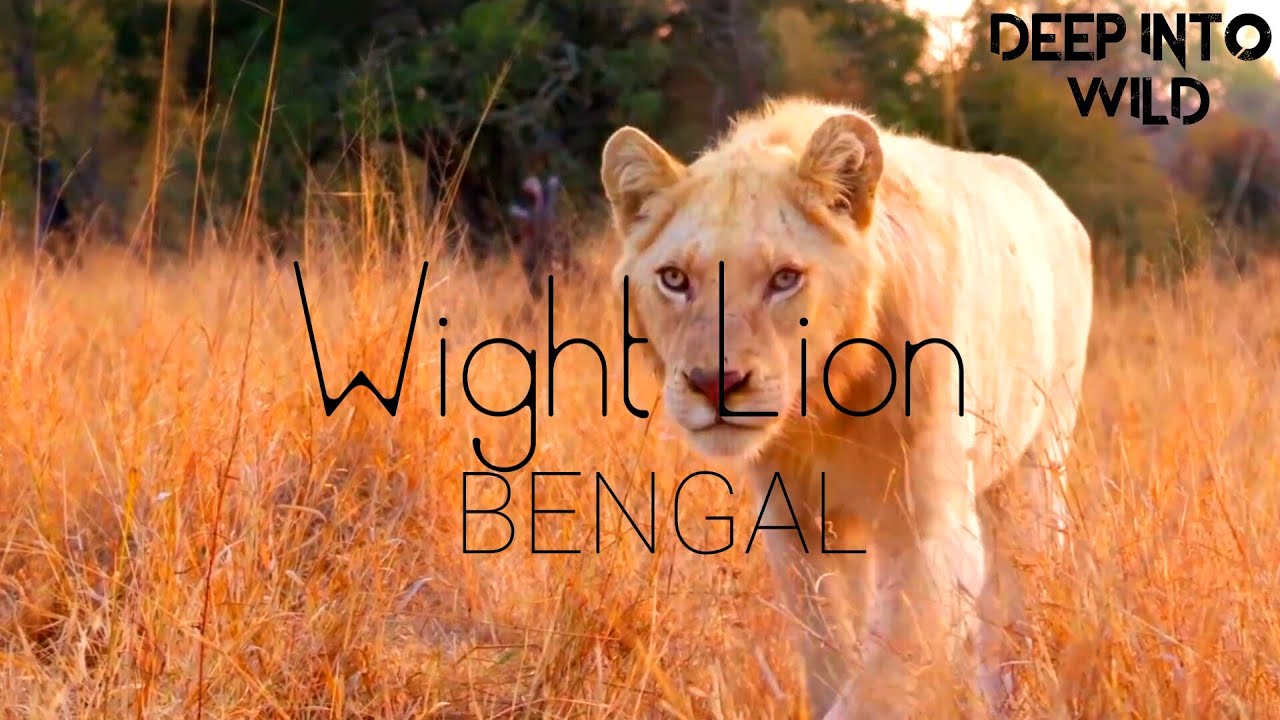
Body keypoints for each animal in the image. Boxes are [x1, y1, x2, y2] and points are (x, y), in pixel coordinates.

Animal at [599, 96, 1093, 720]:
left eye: (785, 278)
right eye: (674, 279)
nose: (714, 383)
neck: (825, 410)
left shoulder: (933, 527)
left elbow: (884, 677)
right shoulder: (800, 528)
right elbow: (833, 655)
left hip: (1036, 469)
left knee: (1012, 608)